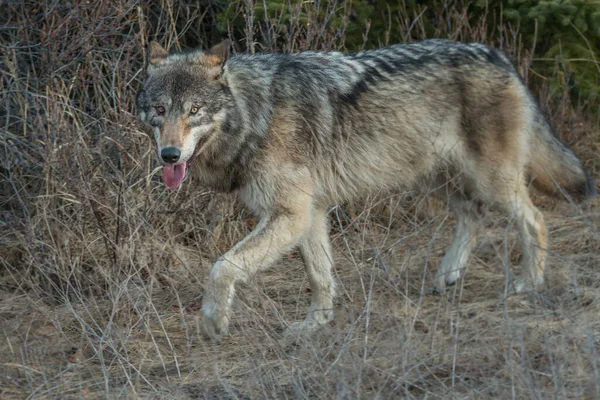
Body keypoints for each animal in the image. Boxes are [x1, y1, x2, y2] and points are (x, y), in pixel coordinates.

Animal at [135, 39, 596, 340]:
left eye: (194, 111)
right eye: (160, 110)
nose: (170, 156)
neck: (255, 115)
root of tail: (499, 57)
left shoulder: (292, 213)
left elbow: (223, 267)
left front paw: (213, 322)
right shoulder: (311, 213)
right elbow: (320, 275)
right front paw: (315, 325)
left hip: (490, 180)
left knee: (534, 220)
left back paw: (527, 283)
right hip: (432, 178)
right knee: (474, 215)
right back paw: (447, 276)